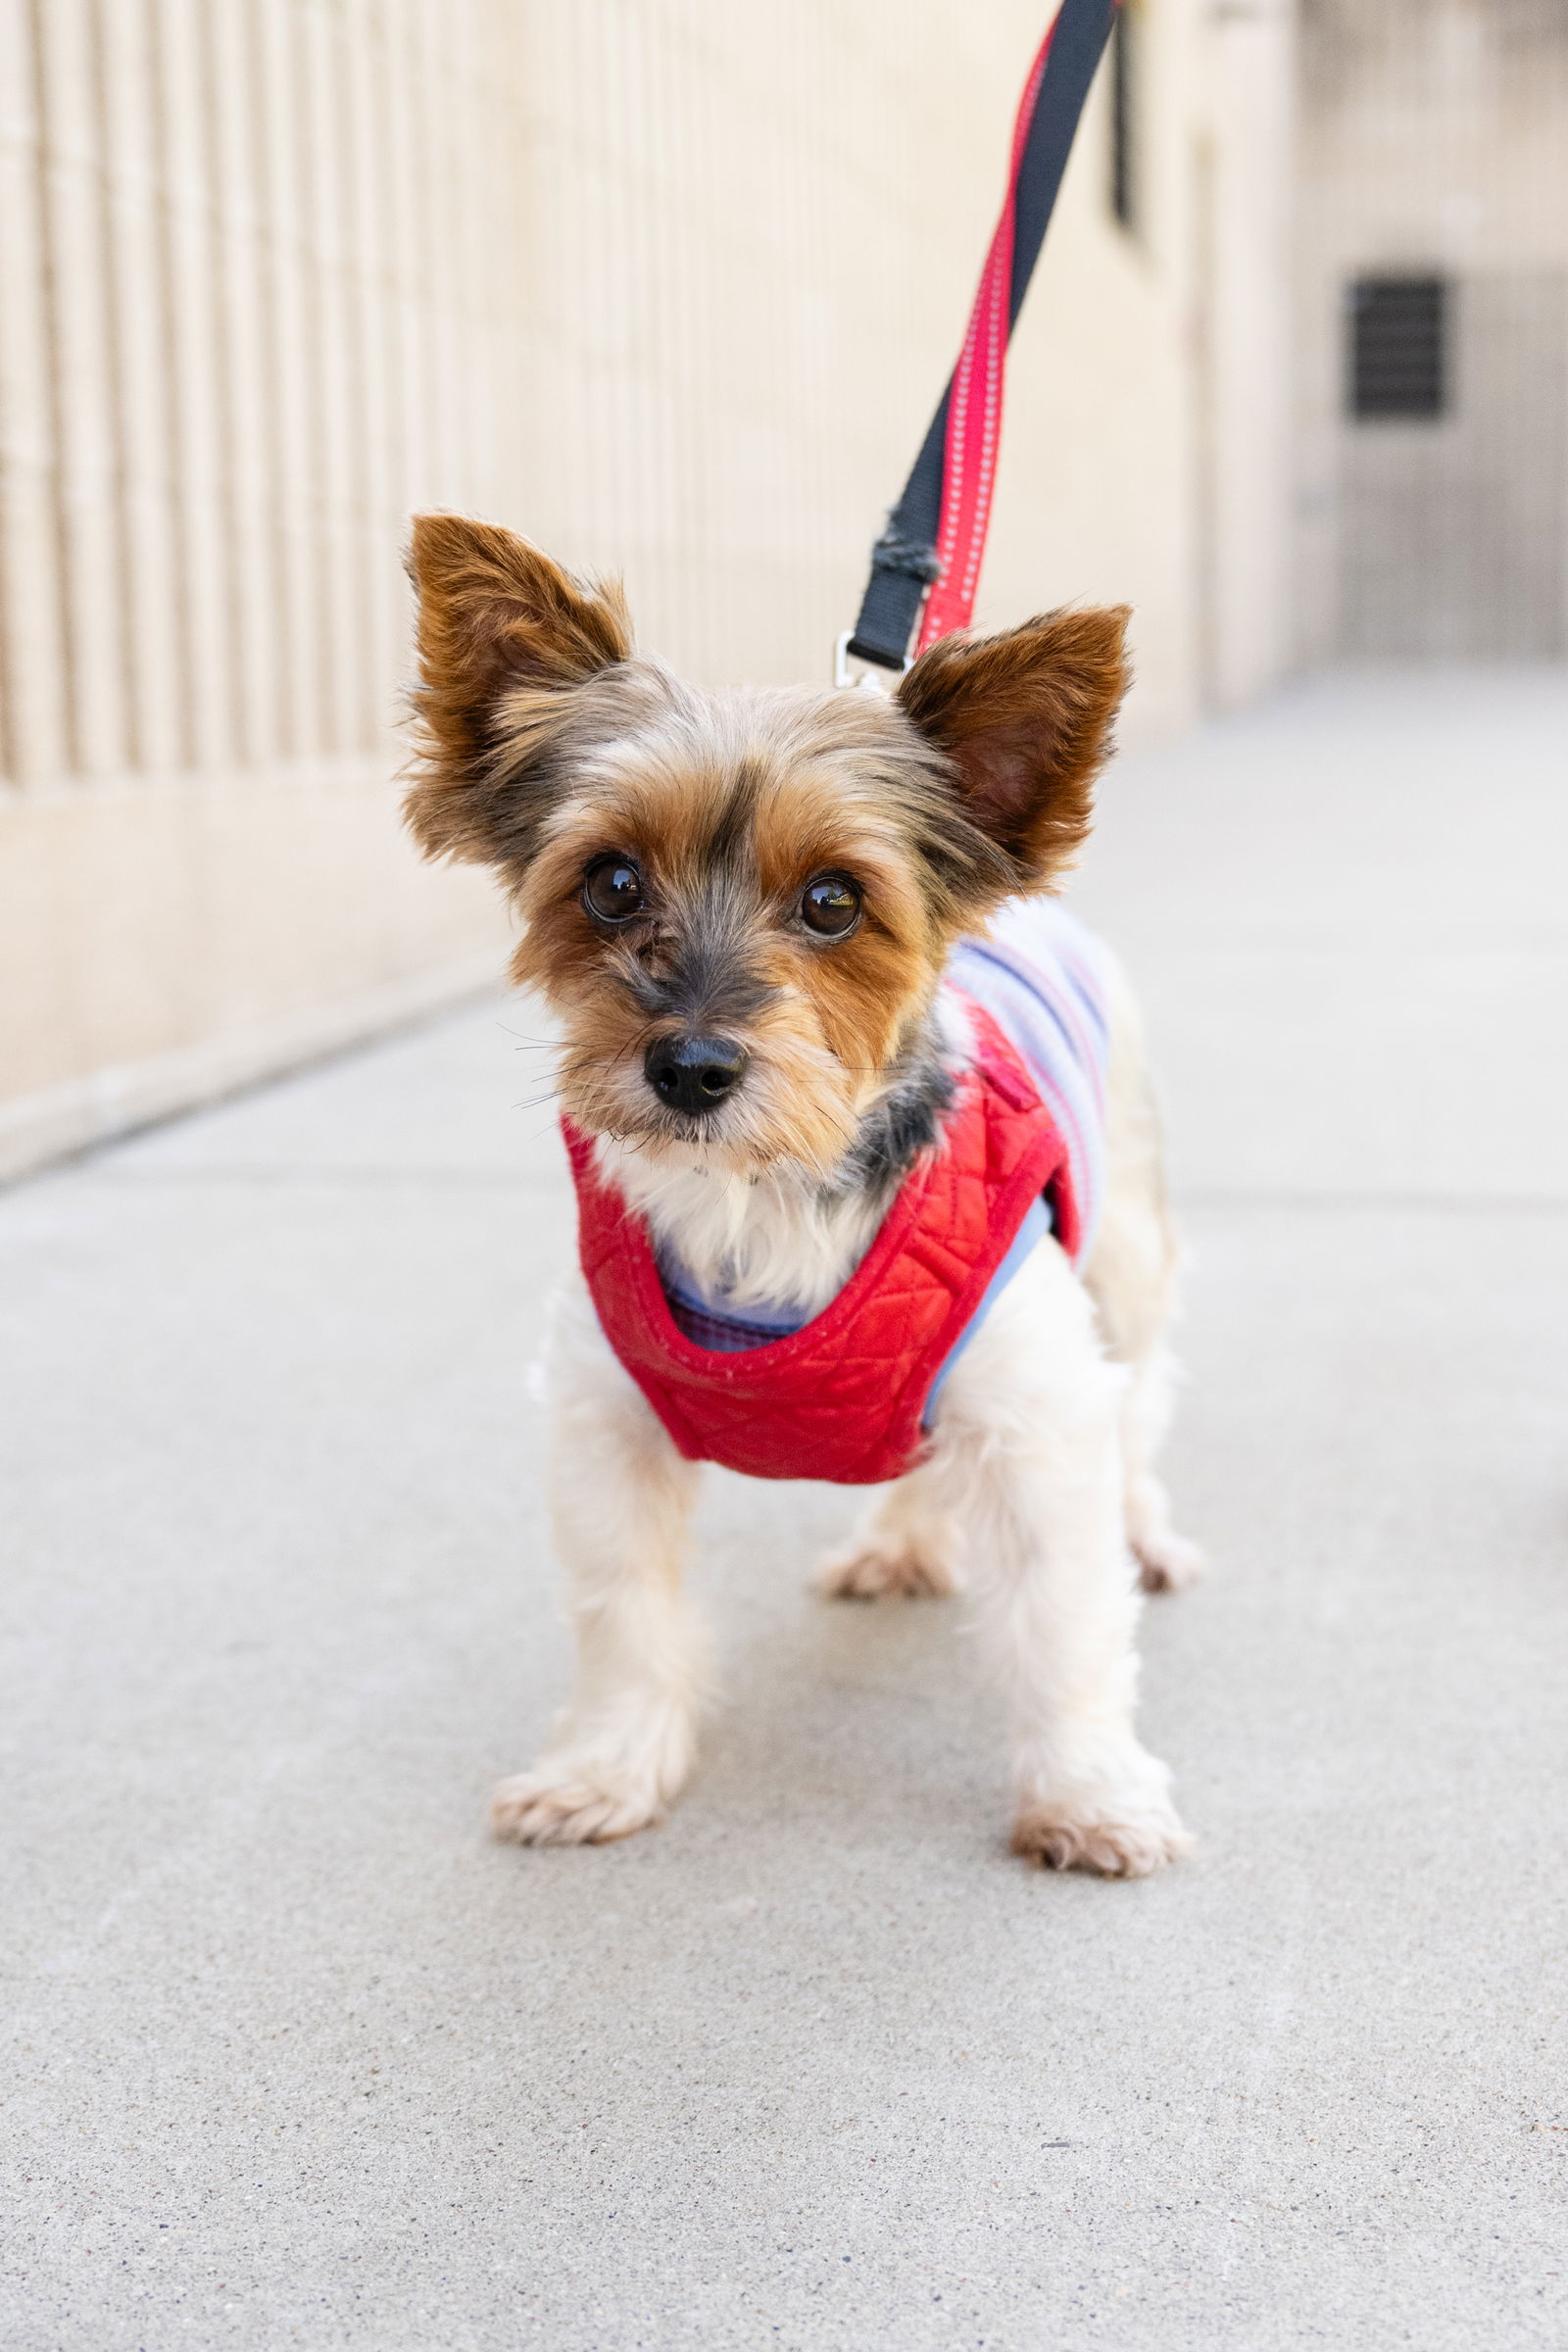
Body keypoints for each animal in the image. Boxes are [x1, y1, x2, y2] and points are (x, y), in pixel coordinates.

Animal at [404, 510, 1203, 1872]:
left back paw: (1146, 1530)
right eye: (610, 881)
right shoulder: (605, 1424)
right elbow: (623, 1616)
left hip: (1126, 1259)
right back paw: (903, 1541)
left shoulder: (1037, 1413)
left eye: (834, 901)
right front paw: (605, 1769)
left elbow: (1065, 1625)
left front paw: (1088, 1793)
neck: (758, 1191)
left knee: (1138, 1405)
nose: (690, 1067)